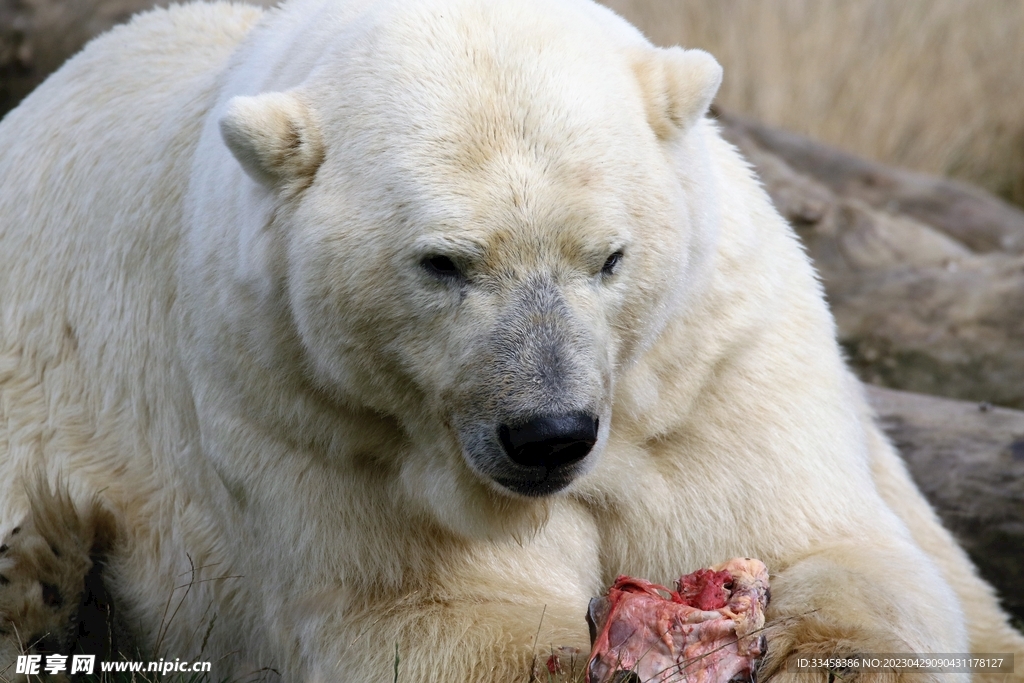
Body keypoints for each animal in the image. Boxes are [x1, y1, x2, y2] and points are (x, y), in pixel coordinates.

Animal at [0, 0, 1022, 680]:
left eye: (609, 257)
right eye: (443, 263)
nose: (549, 435)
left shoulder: (710, 369)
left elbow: (829, 550)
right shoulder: (315, 414)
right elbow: (444, 617)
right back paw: (41, 575)